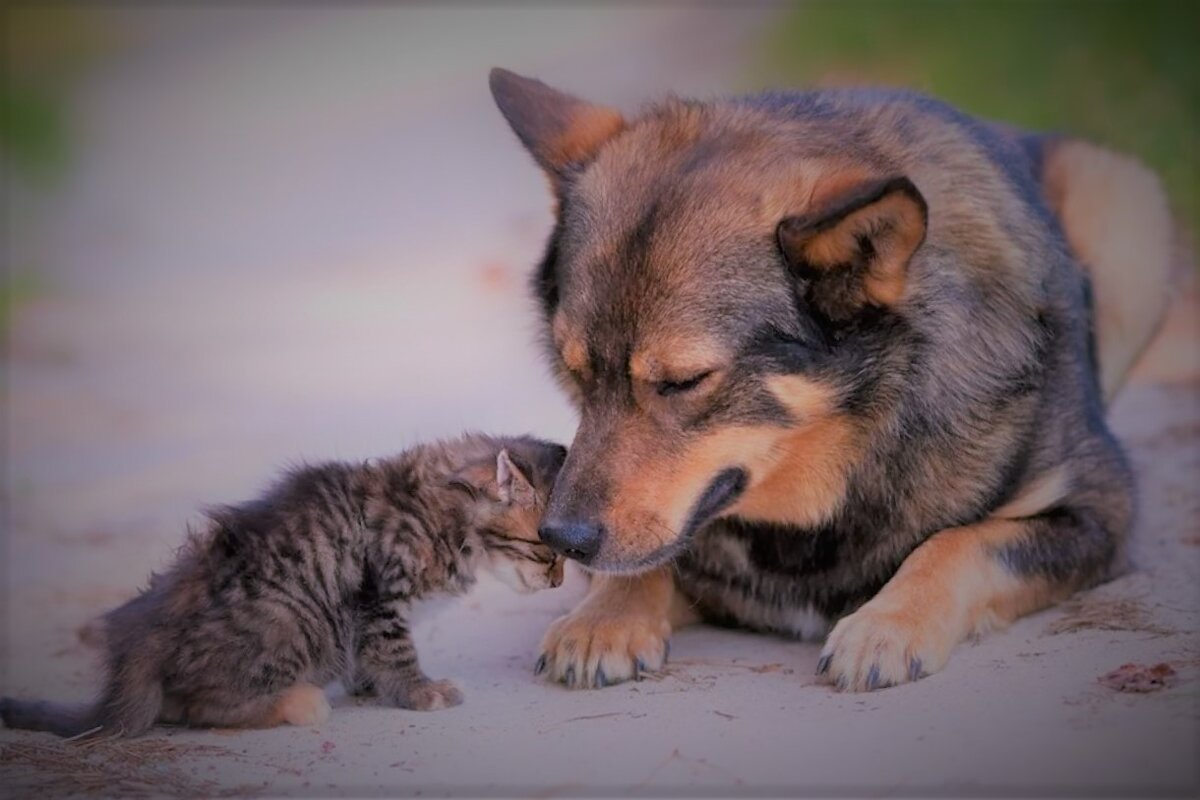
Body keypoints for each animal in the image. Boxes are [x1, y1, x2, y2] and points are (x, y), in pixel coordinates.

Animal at [0, 434, 566, 743]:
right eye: (547, 552)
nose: (558, 581)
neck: (442, 511)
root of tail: (141, 637)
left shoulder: (368, 613)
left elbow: (369, 656)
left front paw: (367, 686)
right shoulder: (379, 596)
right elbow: (396, 653)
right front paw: (421, 692)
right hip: (291, 621)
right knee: (192, 705)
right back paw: (299, 702)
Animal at [487, 68, 1171, 690]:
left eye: (684, 381)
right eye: (575, 371)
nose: (562, 538)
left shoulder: (1099, 512)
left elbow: (960, 543)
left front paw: (888, 624)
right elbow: (649, 560)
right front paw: (603, 619)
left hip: (1124, 209)